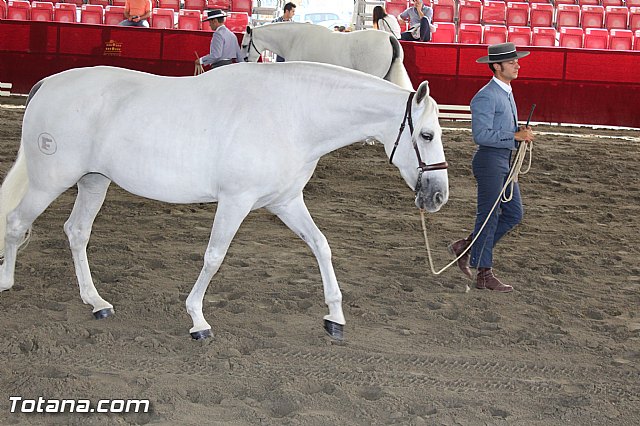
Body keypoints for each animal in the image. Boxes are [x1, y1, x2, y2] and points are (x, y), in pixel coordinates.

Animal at [0, 62, 448, 340]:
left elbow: (321, 246)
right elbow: (214, 256)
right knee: (18, 223)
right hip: (50, 180)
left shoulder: (286, 202)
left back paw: (96, 303)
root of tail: (47, 84)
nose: (438, 196)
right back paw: (6, 283)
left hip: (94, 182)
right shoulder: (236, 201)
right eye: (426, 135)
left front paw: (334, 318)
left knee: (76, 232)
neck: (291, 116)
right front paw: (198, 321)